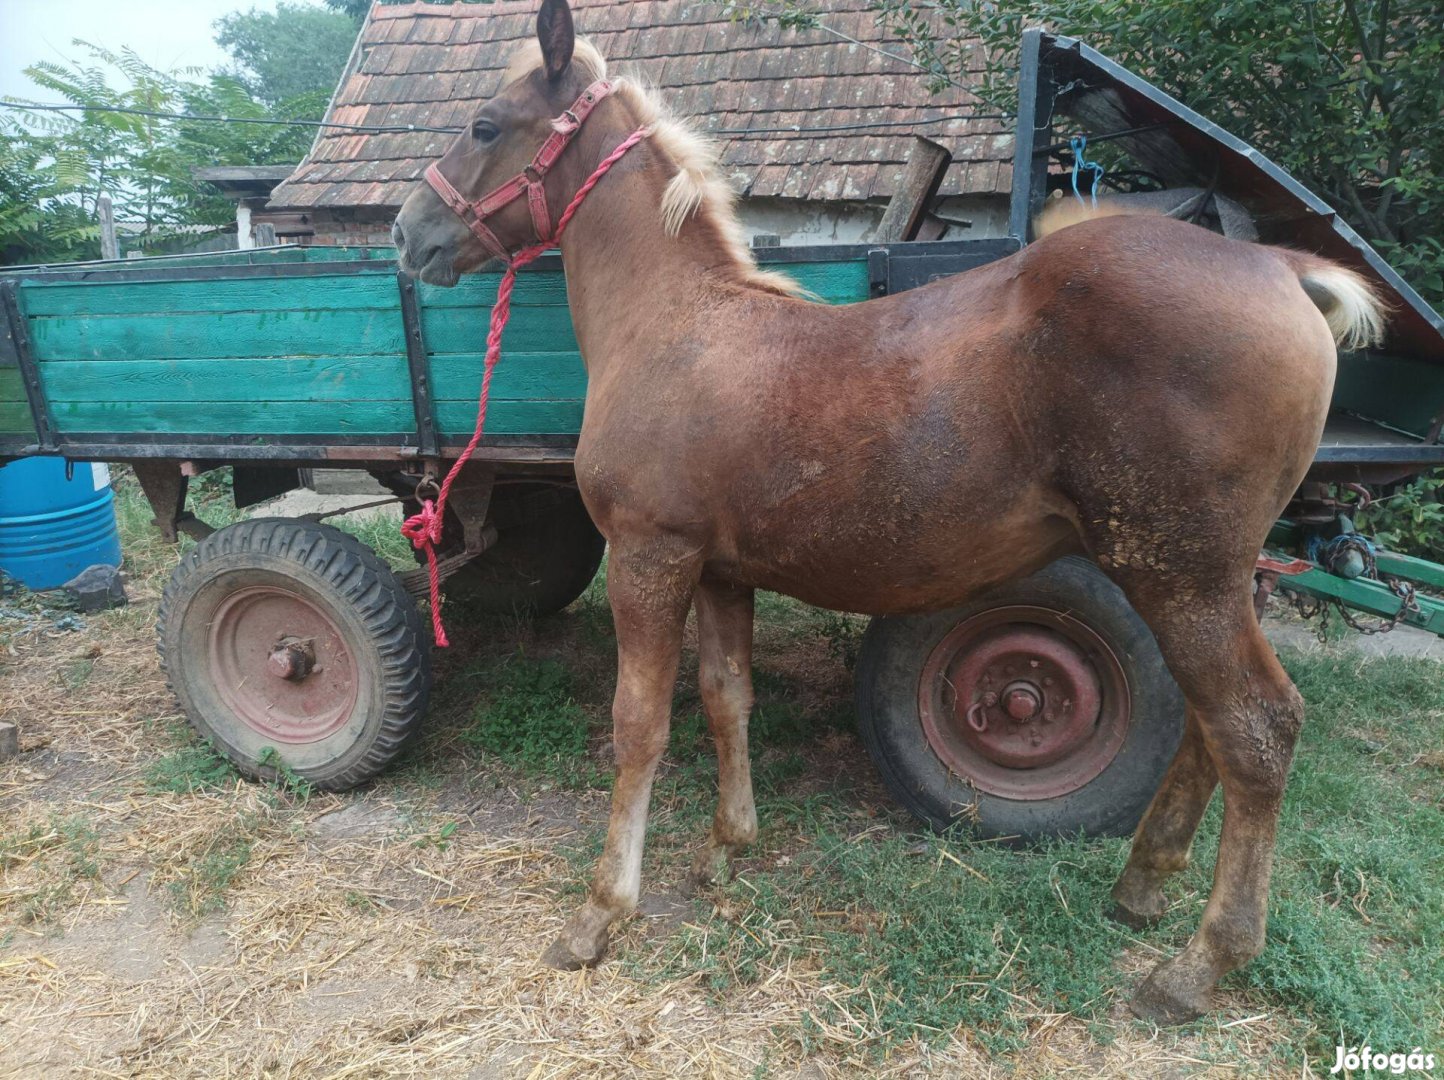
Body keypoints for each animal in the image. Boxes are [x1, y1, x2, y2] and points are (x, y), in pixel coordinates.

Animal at [389, 0, 1380, 1022]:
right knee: (1208, 724)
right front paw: (725, 853)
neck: (678, 325)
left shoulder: (649, 555)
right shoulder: (719, 569)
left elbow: (640, 723)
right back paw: (1142, 885)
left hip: (1179, 569)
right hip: (1202, 575)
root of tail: (1279, 270)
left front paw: (598, 916)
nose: (406, 233)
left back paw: (1197, 965)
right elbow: (727, 697)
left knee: (1257, 729)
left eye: (483, 126)